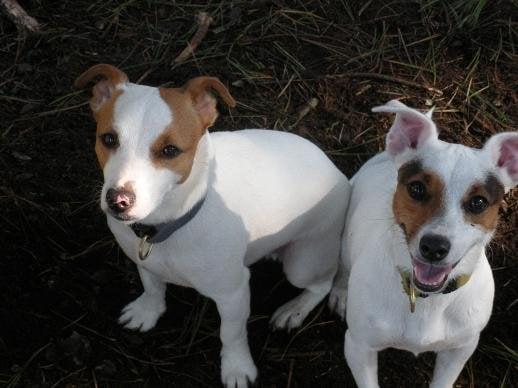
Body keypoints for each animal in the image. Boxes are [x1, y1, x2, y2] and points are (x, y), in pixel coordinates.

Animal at [76, 64, 354, 388]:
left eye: (170, 150)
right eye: (108, 139)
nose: (118, 200)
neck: (171, 222)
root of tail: (341, 176)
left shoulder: (233, 292)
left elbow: (231, 334)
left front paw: (236, 367)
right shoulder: (144, 260)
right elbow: (153, 286)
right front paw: (148, 311)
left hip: (304, 263)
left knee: (323, 283)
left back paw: (294, 309)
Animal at [332, 100, 516, 388]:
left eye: (478, 202)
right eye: (416, 188)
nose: (434, 247)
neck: (428, 300)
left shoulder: (460, 349)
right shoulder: (358, 346)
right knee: (342, 267)